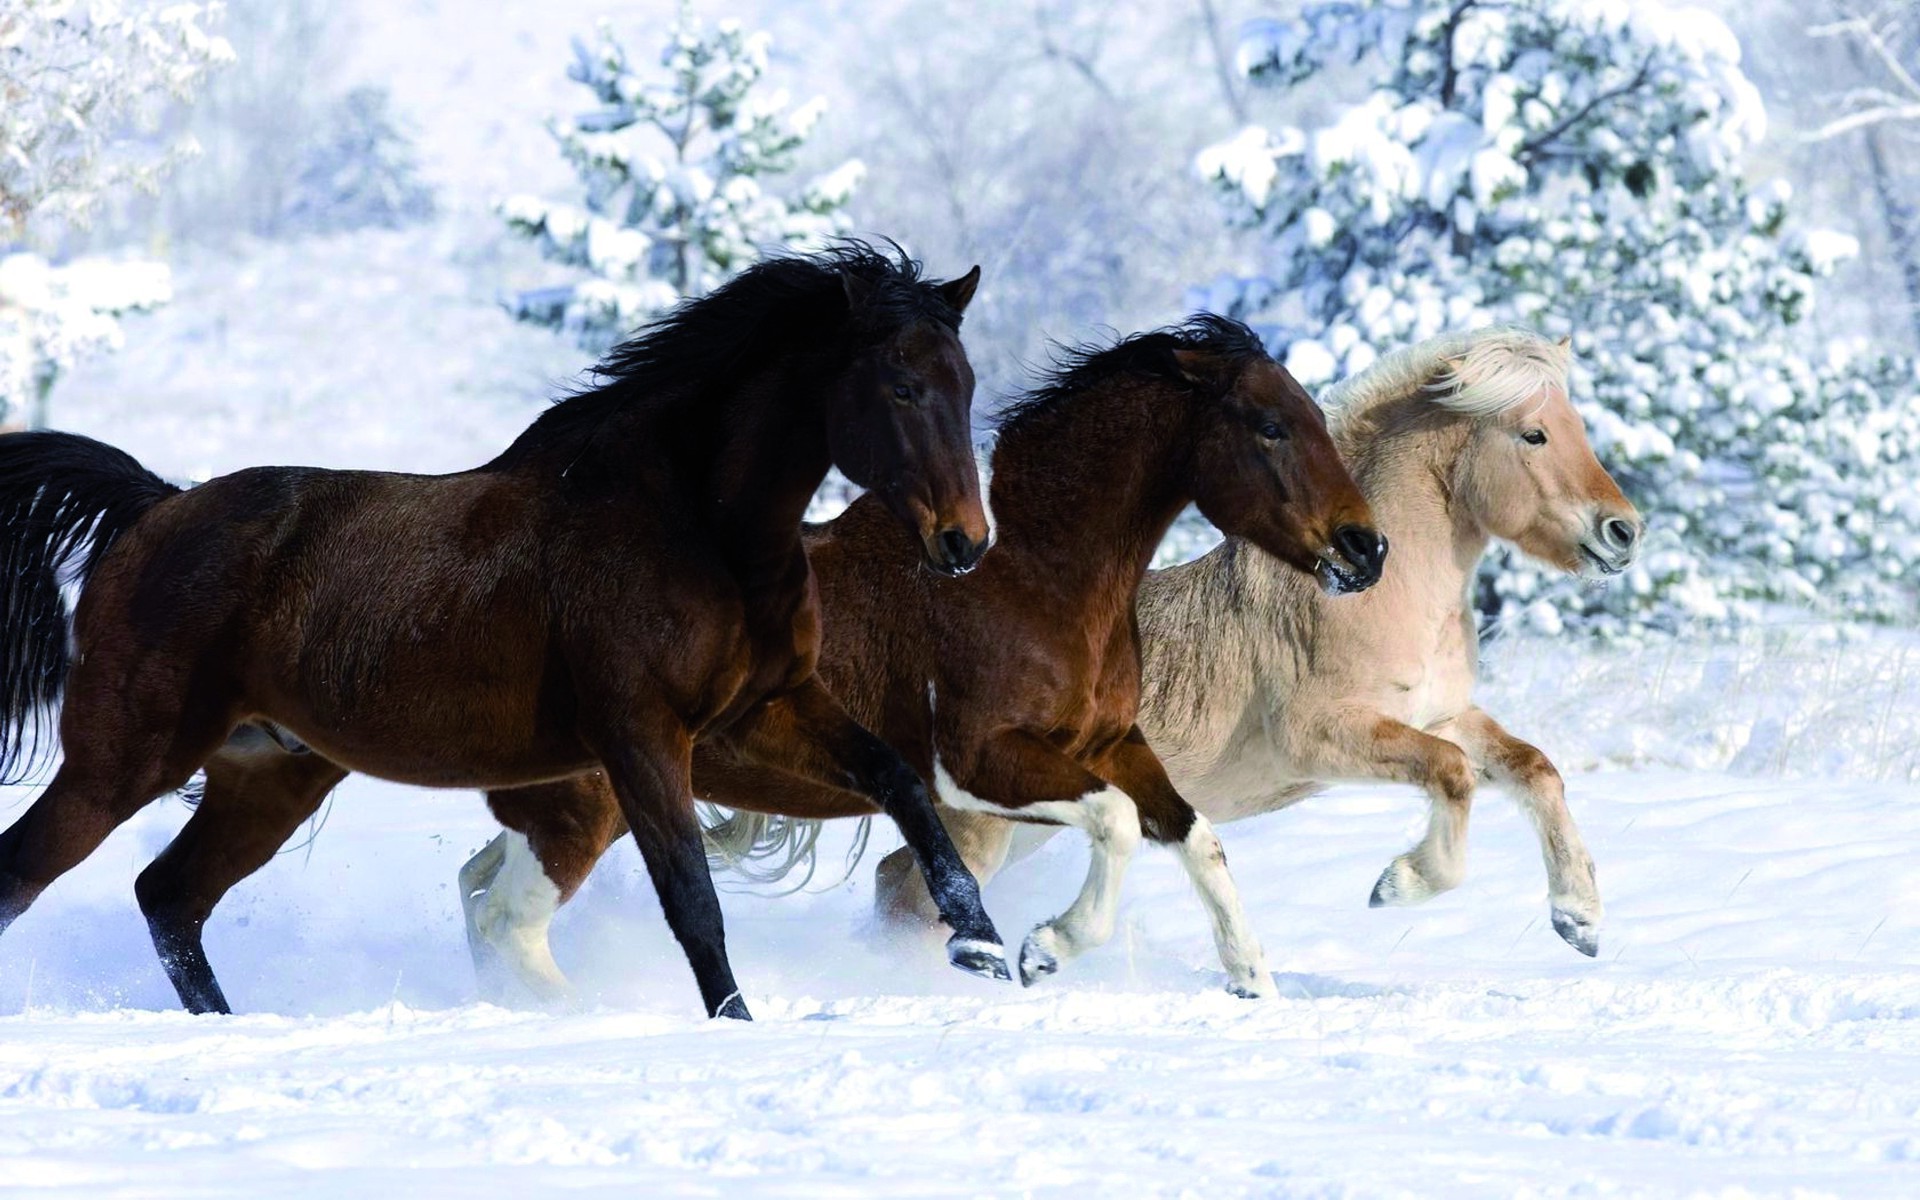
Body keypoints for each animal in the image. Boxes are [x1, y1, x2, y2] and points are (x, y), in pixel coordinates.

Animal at [0, 245, 1013, 1021]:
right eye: (902, 385)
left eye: (966, 383)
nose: (965, 543)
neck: (695, 524)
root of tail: (154, 509)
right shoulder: (641, 737)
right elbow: (694, 900)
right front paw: (738, 1027)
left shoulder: (768, 708)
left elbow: (901, 783)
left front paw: (985, 947)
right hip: (123, 761)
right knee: (31, 876)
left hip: (268, 775)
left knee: (169, 899)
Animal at [879, 324, 1643, 956]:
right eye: (1533, 435)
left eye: (1576, 425)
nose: (1624, 532)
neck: (1378, 594)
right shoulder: (1322, 735)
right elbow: (1453, 774)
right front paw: (1399, 884)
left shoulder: (1440, 714)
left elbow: (1535, 768)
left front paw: (1579, 919)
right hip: (986, 824)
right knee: (913, 894)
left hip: (1029, 825)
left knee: (899, 882)